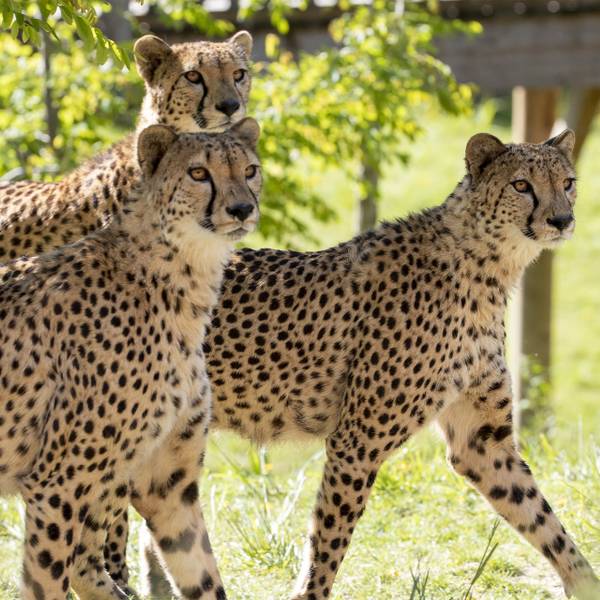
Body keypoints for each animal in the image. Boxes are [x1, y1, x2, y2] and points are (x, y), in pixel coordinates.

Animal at [0, 118, 262, 600]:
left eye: (250, 169)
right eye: (199, 173)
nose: (240, 208)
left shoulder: (167, 487)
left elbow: (203, 577)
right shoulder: (56, 483)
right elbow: (47, 582)